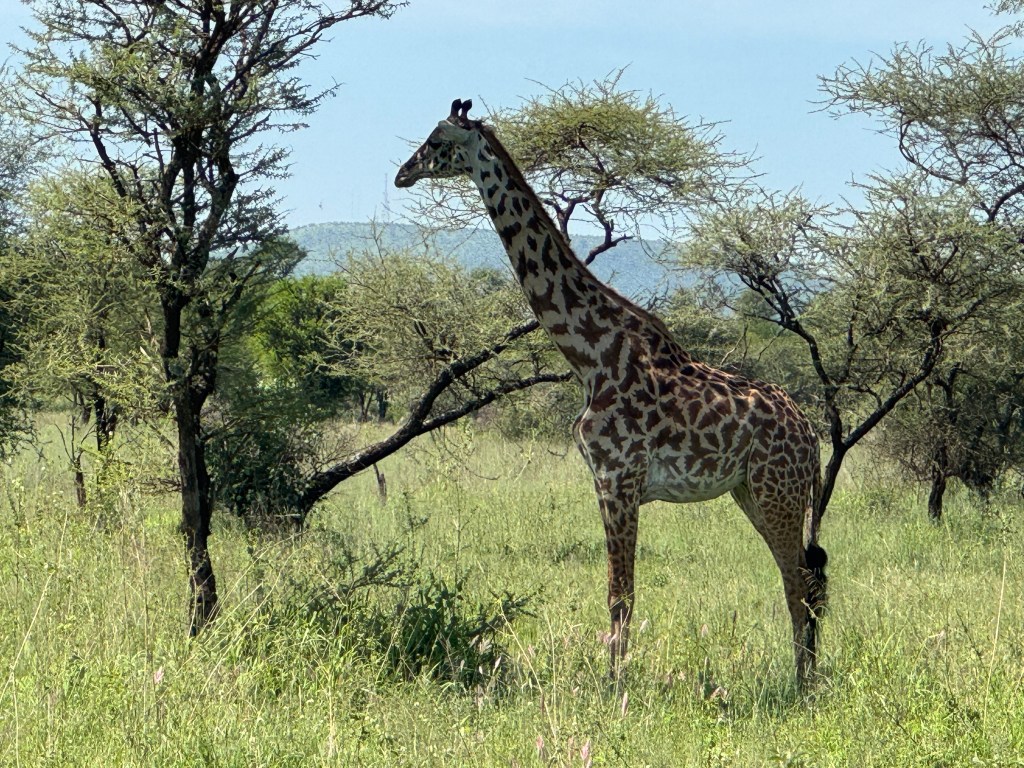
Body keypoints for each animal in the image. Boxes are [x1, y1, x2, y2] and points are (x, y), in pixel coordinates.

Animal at [395, 99, 828, 687]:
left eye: (438, 139)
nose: (402, 173)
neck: (589, 356)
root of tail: (812, 437)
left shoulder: (617, 479)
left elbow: (620, 595)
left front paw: (614, 688)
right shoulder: (608, 482)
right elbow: (620, 593)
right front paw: (614, 680)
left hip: (777, 491)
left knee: (799, 582)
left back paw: (802, 687)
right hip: (754, 492)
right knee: (807, 577)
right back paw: (808, 677)